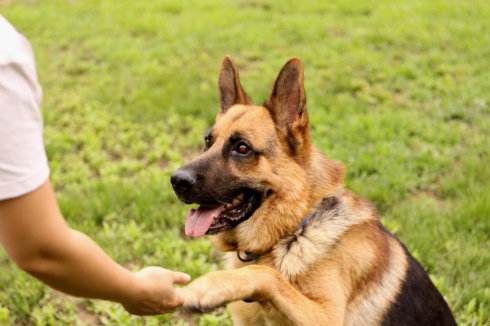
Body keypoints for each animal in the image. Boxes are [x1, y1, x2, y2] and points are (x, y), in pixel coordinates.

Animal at [172, 57, 456, 324]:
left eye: (242, 148)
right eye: (208, 141)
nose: (176, 180)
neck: (294, 231)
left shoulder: (326, 316)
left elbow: (266, 274)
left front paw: (205, 286)